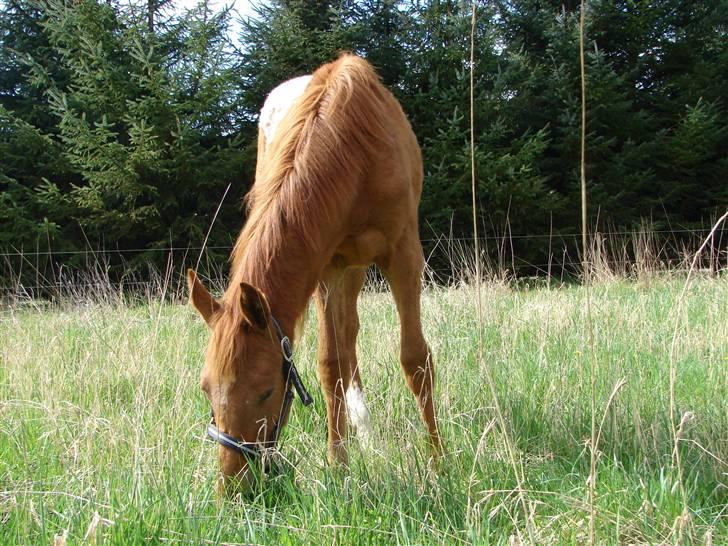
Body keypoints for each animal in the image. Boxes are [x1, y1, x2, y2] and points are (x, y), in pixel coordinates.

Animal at [185, 54, 440, 488]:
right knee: (348, 340)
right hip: (347, 271)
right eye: (205, 389)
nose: (233, 486)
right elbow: (330, 364)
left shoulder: (404, 255)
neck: (353, 151)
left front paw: (440, 462)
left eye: (266, 391)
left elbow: (415, 359)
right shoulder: (326, 266)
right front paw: (338, 465)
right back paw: (362, 431)